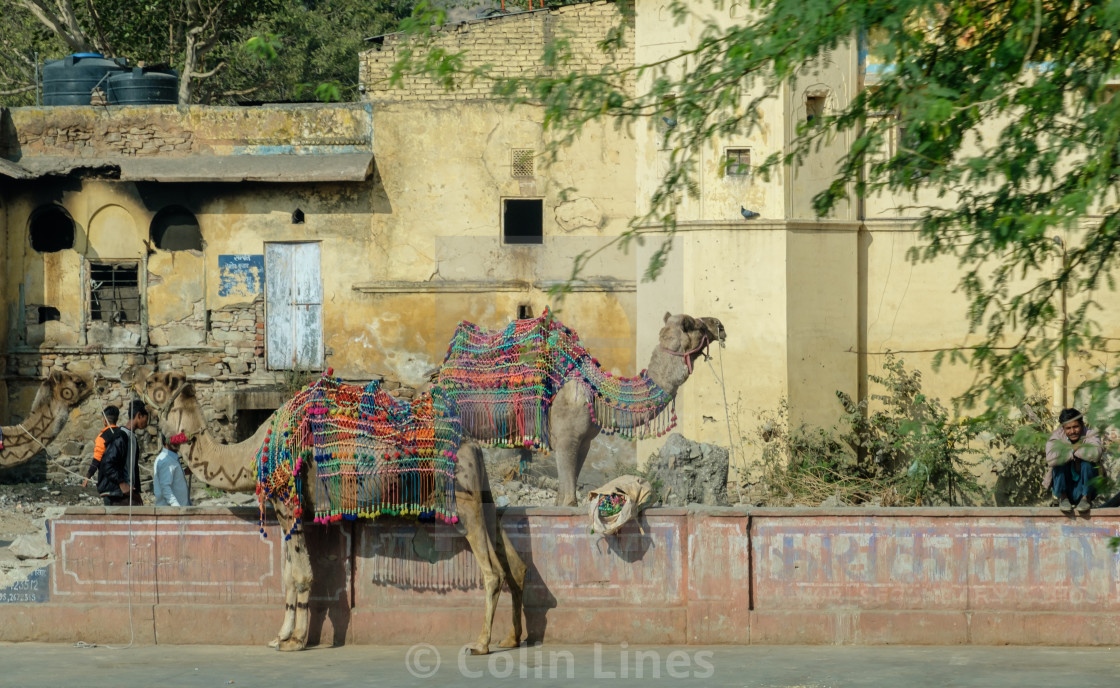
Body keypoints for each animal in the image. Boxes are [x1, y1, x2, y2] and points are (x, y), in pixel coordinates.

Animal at [133, 369, 526, 654]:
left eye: (156, 380)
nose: (132, 377)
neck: (251, 454)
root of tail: (471, 443)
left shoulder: (288, 505)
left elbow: (301, 575)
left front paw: (295, 641)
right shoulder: (292, 511)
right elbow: (287, 575)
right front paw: (279, 636)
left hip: (462, 498)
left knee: (492, 571)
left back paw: (481, 644)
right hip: (481, 491)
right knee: (514, 561)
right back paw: (511, 638)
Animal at [436, 313, 725, 506]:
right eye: (698, 325)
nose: (720, 325)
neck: (596, 393)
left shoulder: (584, 441)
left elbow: (564, 495)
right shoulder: (565, 437)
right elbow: (568, 501)